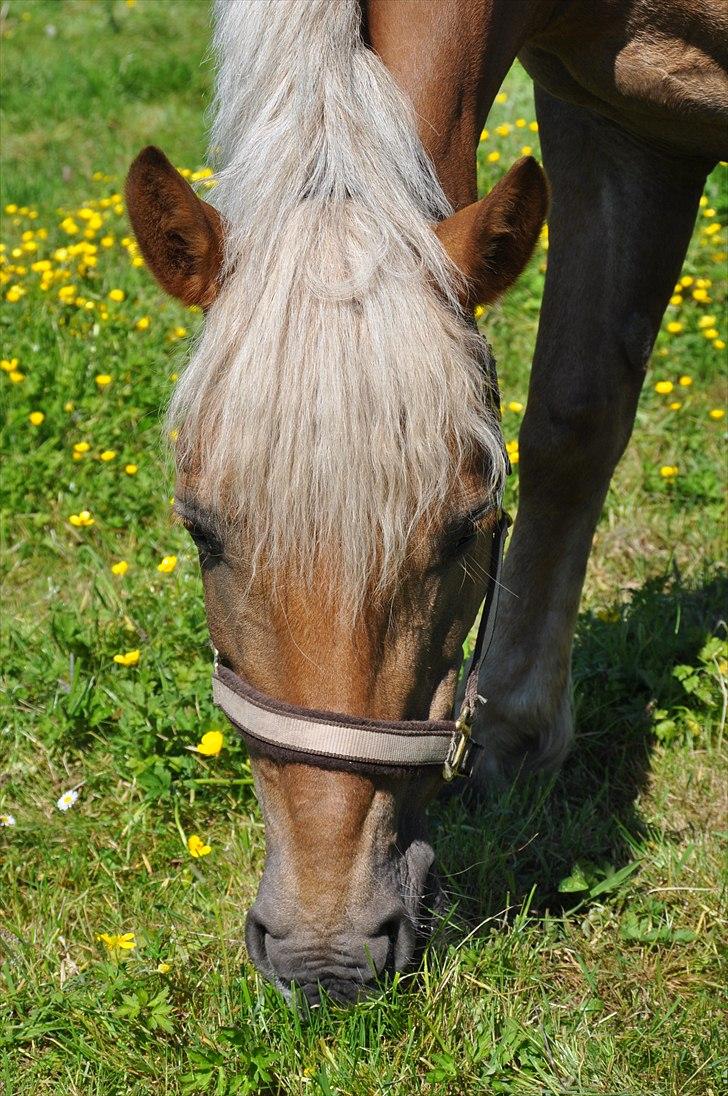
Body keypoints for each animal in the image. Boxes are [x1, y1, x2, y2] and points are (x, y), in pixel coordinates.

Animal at [126, 0, 727, 1005]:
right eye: (201, 534)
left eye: (462, 535)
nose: (324, 955)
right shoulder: (610, 120)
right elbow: (575, 413)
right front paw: (517, 732)